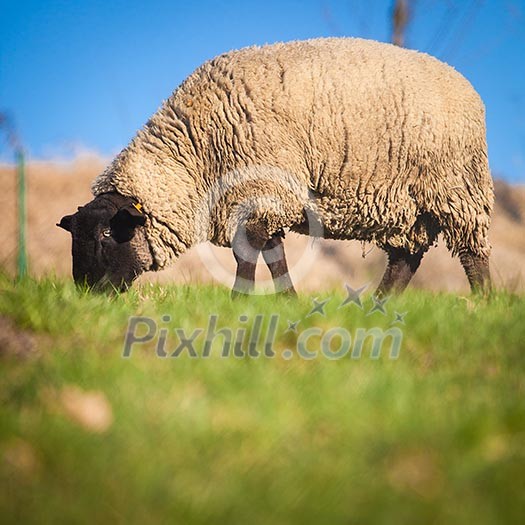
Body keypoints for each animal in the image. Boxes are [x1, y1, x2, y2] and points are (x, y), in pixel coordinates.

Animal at [59, 36, 494, 294]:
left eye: (106, 236)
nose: (85, 296)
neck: (195, 153)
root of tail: (466, 86)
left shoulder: (262, 190)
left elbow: (251, 254)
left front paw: (241, 300)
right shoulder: (257, 198)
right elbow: (271, 253)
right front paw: (286, 299)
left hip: (456, 189)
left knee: (472, 253)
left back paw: (484, 303)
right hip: (405, 208)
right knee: (405, 261)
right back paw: (378, 307)